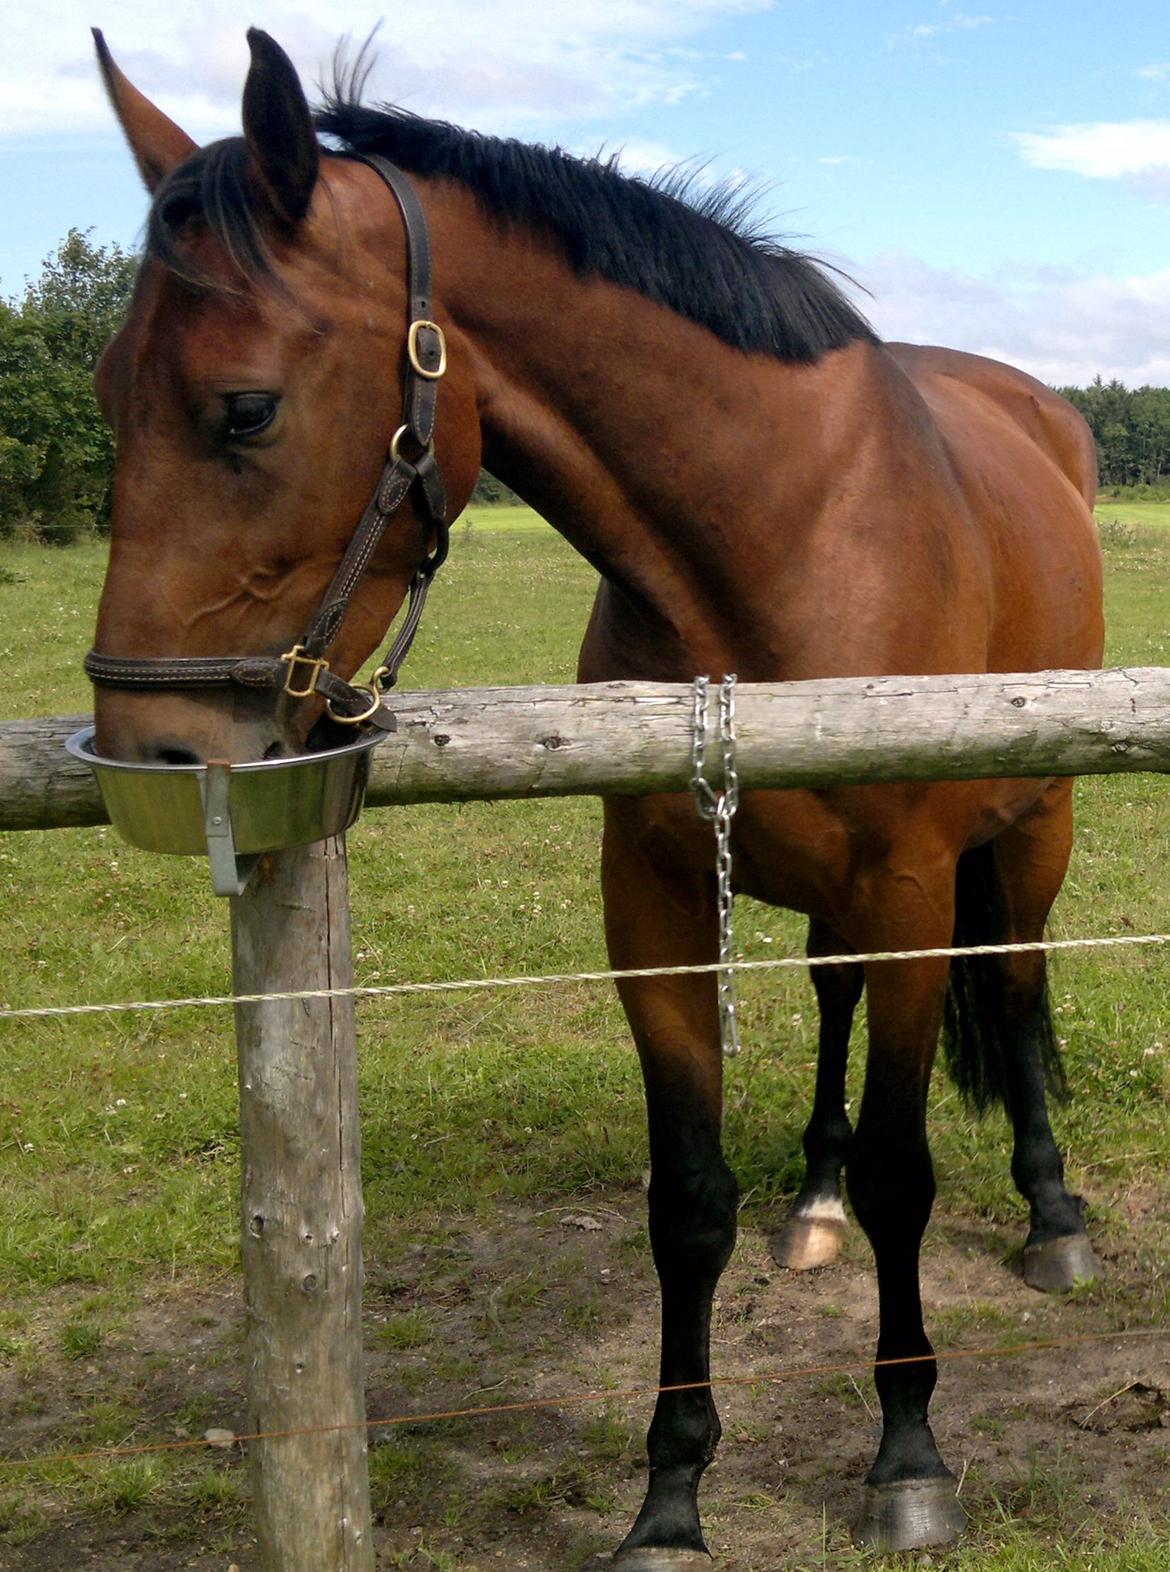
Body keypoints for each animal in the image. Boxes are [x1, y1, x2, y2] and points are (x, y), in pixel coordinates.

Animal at [86, 24, 1100, 1559]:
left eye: (244, 407)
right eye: (100, 386)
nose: (147, 750)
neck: (787, 534)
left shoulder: (916, 890)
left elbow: (907, 1169)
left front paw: (909, 1454)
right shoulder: (657, 898)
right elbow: (687, 1200)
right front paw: (671, 1494)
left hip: (1029, 830)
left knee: (1024, 983)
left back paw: (1051, 1213)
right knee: (830, 999)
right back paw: (812, 1198)